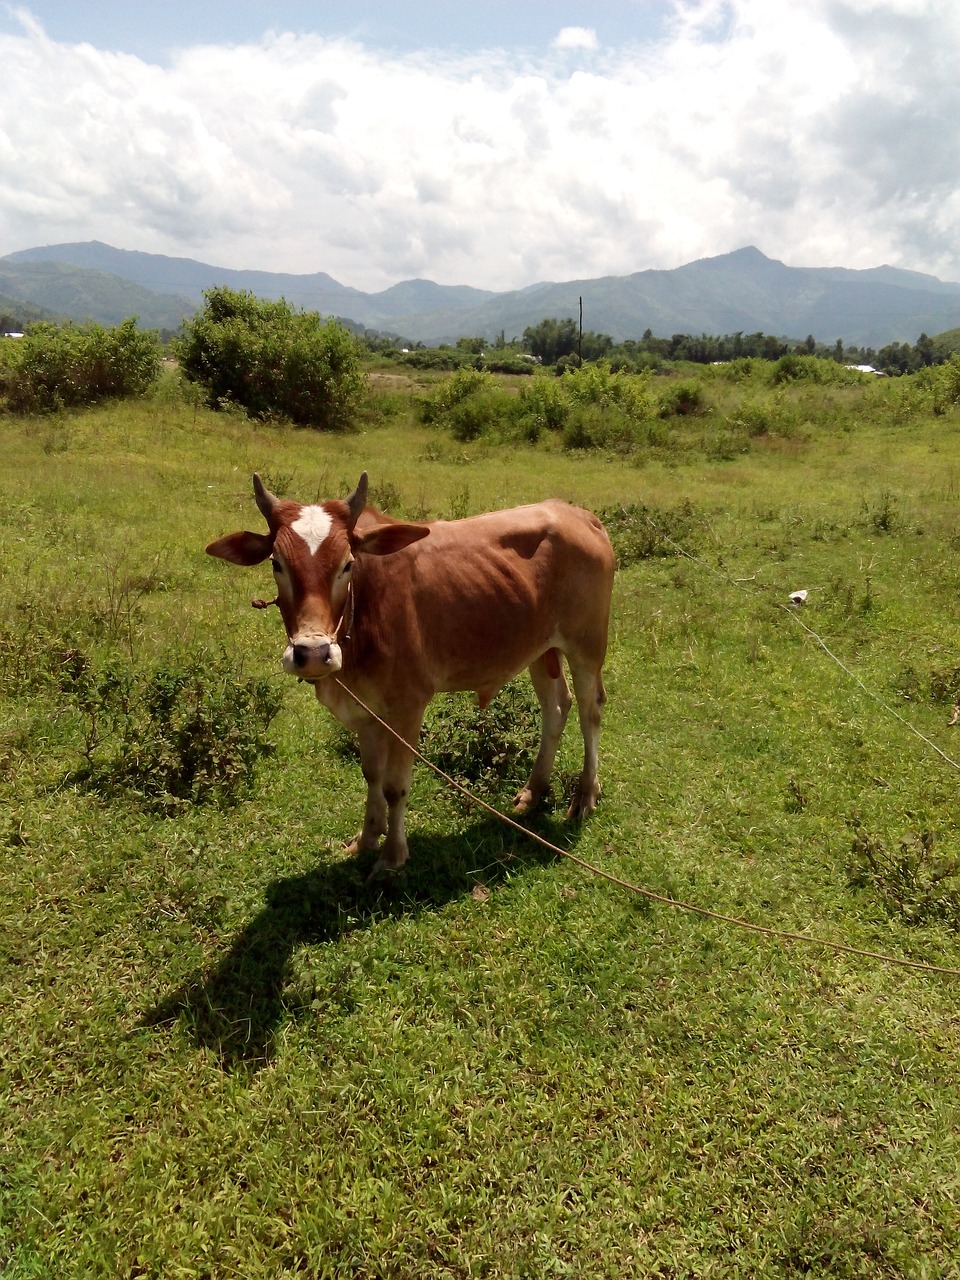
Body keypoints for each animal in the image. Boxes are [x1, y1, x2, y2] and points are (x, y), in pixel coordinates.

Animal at [206, 473, 615, 876]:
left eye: (347, 564)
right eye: (276, 563)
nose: (313, 653)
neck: (362, 611)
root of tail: (579, 515)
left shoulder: (408, 706)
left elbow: (395, 785)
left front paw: (392, 856)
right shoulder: (365, 709)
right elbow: (371, 773)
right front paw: (367, 838)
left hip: (586, 645)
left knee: (589, 710)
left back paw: (584, 795)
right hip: (540, 649)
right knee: (556, 708)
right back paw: (533, 791)